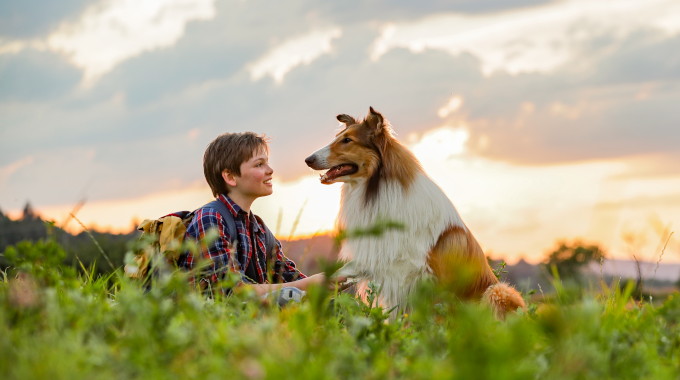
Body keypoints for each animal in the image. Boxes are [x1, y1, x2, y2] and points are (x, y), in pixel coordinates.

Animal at [306, 106, 524, 318]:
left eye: (347, 140)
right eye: (338, 137)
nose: (308, 159)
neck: (376, 189)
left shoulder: (422, 278)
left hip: (498, 291)